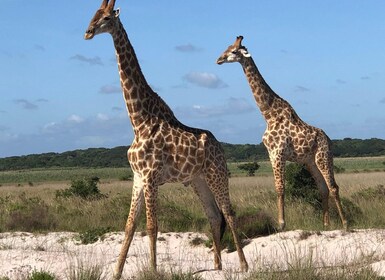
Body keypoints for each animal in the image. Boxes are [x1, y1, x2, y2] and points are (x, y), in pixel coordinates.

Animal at [83, 1, 246, 278]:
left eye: (106, 17)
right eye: (93, 14)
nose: (88, 32)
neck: (138, 121)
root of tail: (219, 145)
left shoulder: (150, 177)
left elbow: (151, 226)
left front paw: (153, 270)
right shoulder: (138, 177)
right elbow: (129, 226)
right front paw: (116, 271)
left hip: (217, 174)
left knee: (229, 213)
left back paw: (244, 265)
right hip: (197, 180)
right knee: (214, 216)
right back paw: (217, 266)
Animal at [216, 35, 348, 232]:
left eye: (233, 51)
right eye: (226, 47)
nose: (218, 59)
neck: (268, 114)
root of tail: (329, 140)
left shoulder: (278, 152)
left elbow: (280, 188)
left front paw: (281, 224)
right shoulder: (271, 153)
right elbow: (277, 187)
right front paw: (281, 223)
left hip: (323, 157)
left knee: (333, 187)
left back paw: (345, 223)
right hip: (310, 162)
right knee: (323, 188)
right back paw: (325, 224)